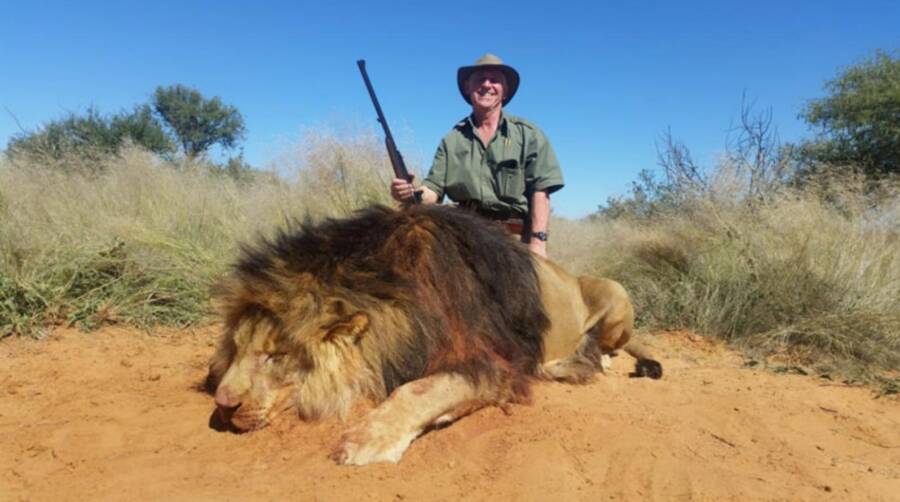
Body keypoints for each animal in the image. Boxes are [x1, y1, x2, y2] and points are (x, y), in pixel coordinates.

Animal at [206, 205, 661, 465]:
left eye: (276, 355)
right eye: (237, 348)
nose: (223, 406)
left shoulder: (492, 363)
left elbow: (418, 390)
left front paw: (365, 440)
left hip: (615, 292)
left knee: (608, 349)